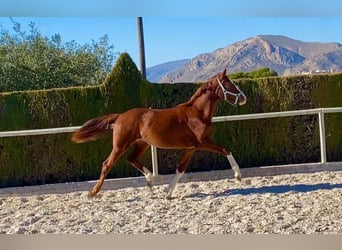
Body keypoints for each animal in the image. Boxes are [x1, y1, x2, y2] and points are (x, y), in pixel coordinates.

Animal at [72, 69, 247, 198]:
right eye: (228, 84)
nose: (244, 98)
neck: (197, 113)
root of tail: (120, 116)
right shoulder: (202, 142)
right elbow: (226, 150)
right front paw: (238, 175)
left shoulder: (191, 147)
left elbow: (181, 168)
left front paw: (168, 193)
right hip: (120, 145)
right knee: (107, 164)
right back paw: (93, 193)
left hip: (142, 144)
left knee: (131, 159)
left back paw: (151, 181)